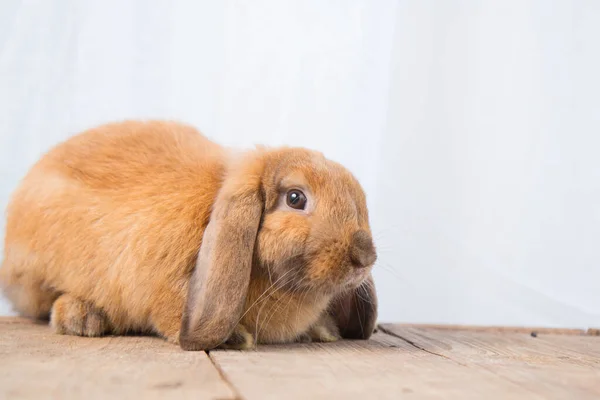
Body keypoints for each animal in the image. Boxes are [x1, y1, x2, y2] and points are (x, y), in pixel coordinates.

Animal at [0, 119, 378, 350]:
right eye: (296, 198)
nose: (365, 256)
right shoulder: (167, 286)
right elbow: (169, 310)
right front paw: (234, 339)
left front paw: (324, 331)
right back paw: (82, 317)